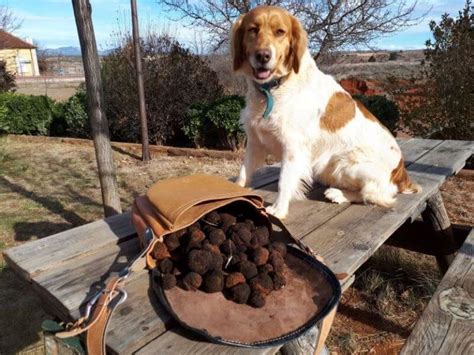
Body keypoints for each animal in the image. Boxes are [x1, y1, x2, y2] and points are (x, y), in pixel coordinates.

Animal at [231, 6, 420, 220]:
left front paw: (279, 209)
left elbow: (284, 180)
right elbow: (243, 173)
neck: (271, 90)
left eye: (280, 31)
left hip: (345, 163)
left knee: (376, 194)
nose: (263, 56)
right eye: (253, 30)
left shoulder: (293, 147)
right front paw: (234, 195)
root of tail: (401, 172)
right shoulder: (255, 142)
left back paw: (338, 194)